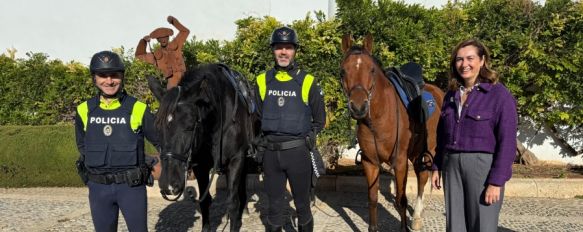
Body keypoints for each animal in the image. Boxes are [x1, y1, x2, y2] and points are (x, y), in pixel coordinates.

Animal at [148, 62, 260, 231]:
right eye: (157, 127)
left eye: (190, 125)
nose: (169, 185)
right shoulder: (201, 166)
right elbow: (204, 201)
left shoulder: (236, 159)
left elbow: (232, 202)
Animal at [340, 35, 444, 232]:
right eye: (343, 71)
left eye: (372, 70)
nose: (358, 107)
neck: (379, 118)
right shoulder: (370, 162)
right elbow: (373, 199)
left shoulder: (400, 161)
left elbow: (401, 199)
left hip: (428, 150)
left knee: (422, 178)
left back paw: (416, 218)